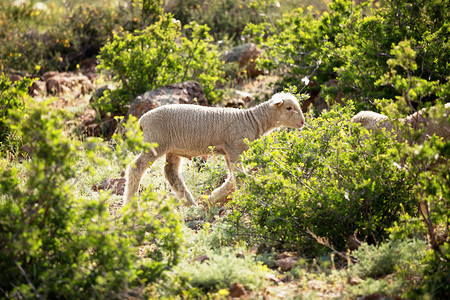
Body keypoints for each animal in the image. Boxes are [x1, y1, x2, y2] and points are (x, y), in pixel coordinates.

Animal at [123, 92, 306, 207]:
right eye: (289, 108)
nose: (303, 122)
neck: (253, 121)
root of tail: (142, 120)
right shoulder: (234, 148)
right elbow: (238, 176)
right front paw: (244, 198)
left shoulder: (228, 151)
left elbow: (232, 177)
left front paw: (211, 198)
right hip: (155, 143)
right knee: (136, 168)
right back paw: (131, 205)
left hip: (172, 149)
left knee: (170, 173)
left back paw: (191, 203)